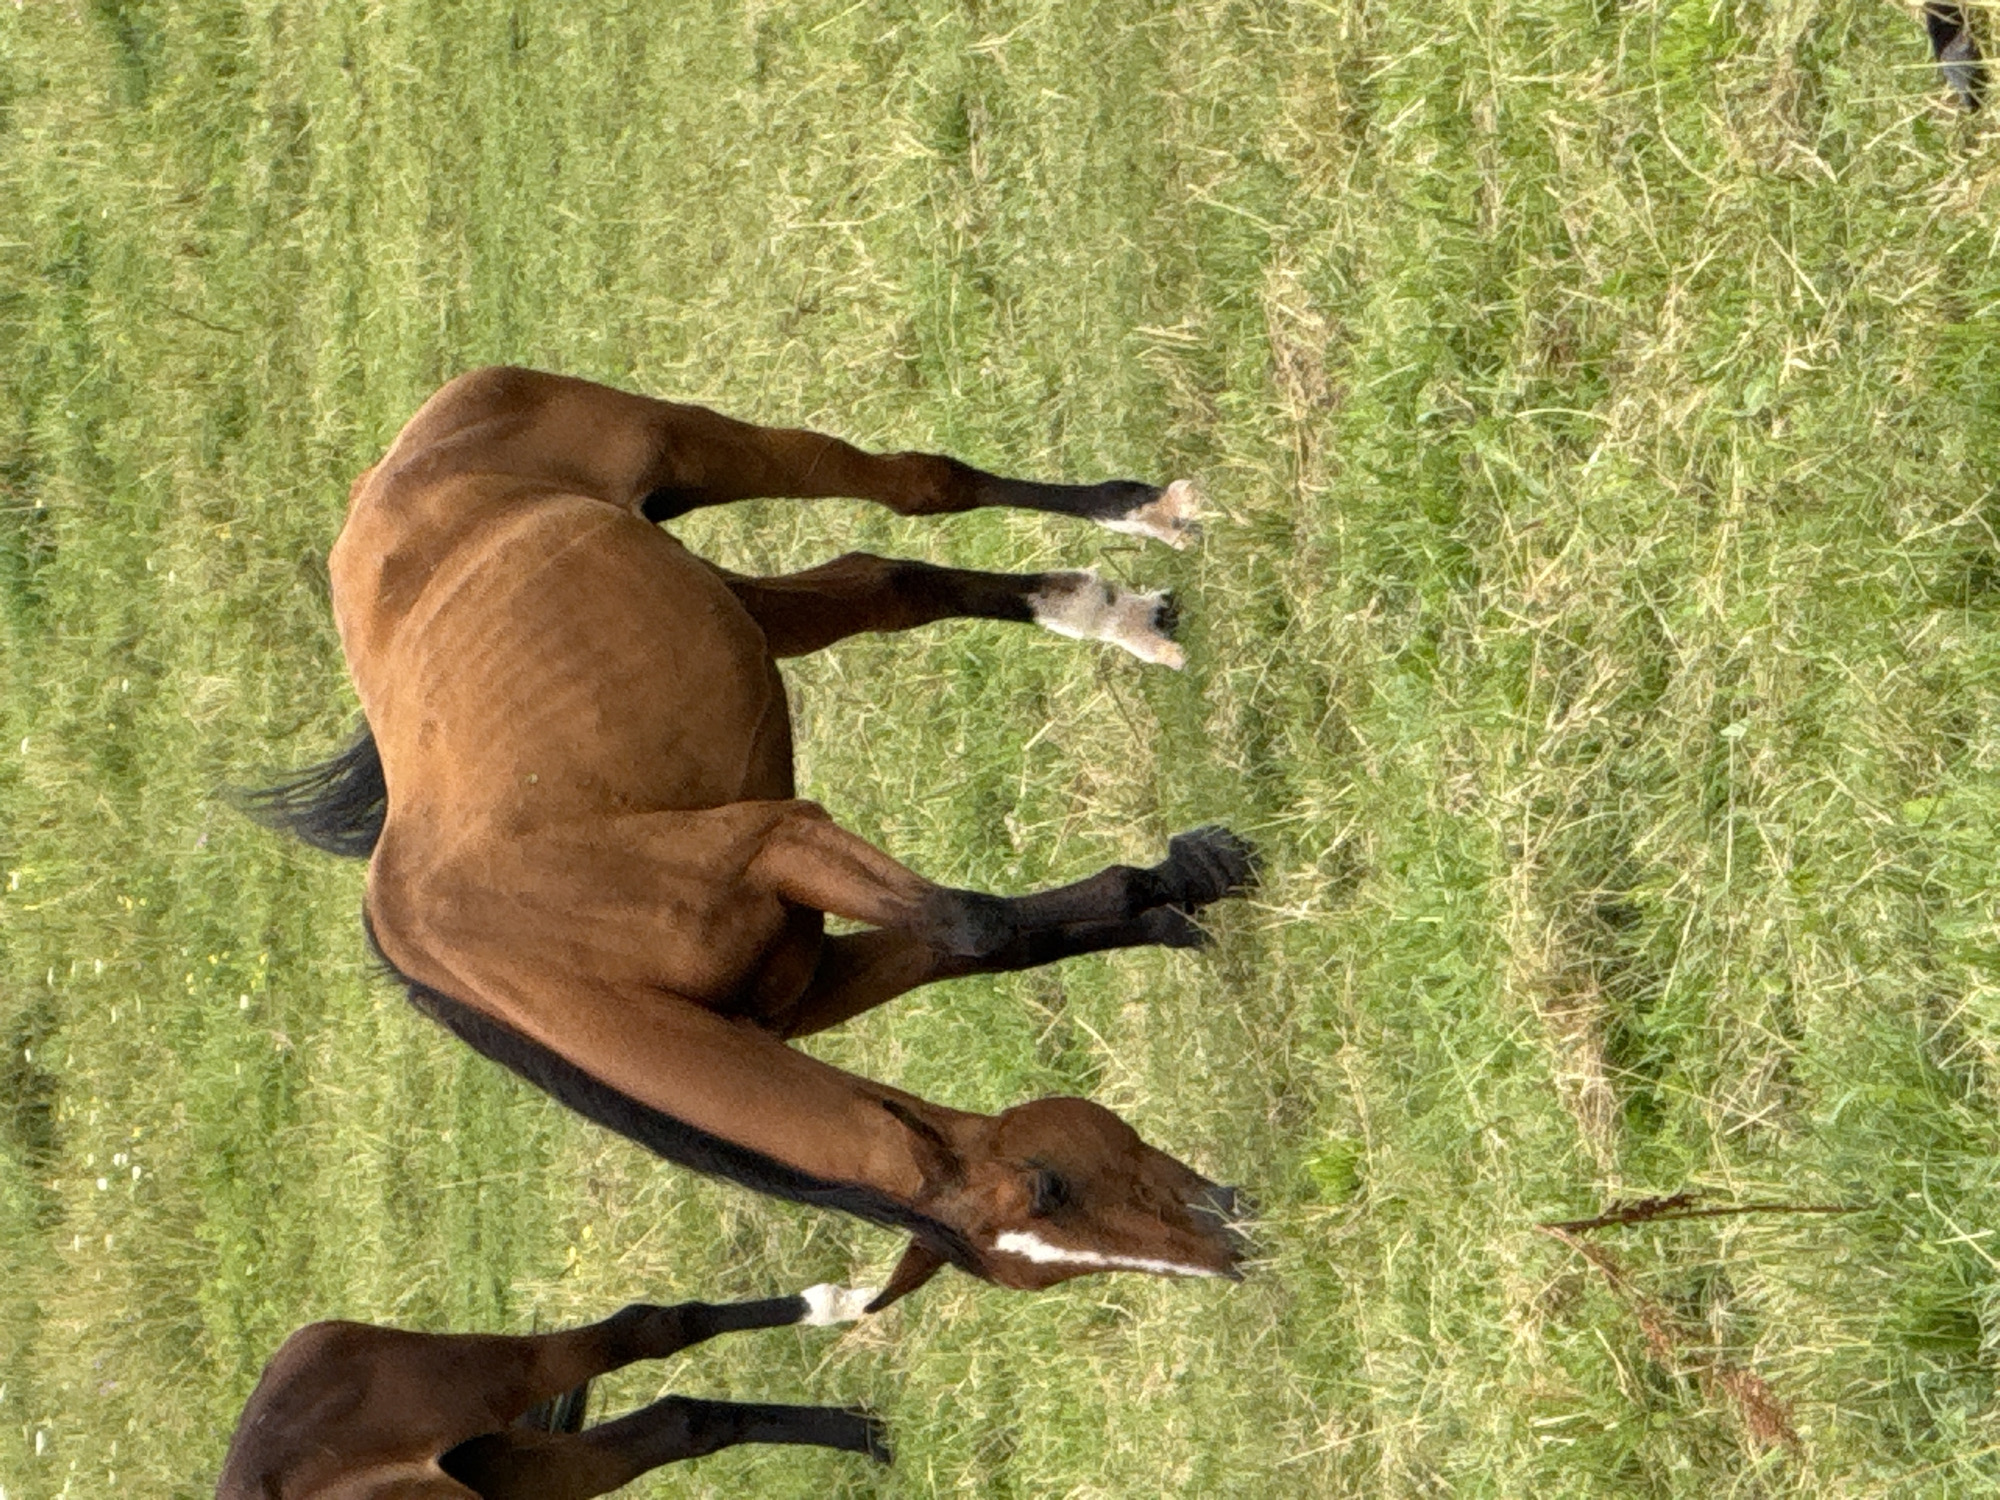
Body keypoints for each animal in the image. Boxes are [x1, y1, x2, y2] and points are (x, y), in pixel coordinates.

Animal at [216, 1284, 889, 1498]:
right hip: (522, 1474)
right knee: (680, 1425)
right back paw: (872, 1434)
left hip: (492, 1374)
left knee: (650, 1328)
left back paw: (843, 1309)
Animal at [247, 366, 1256, 1310]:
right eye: (1048, 1195)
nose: (1233, 1239)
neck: (552, 965)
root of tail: (393, 463)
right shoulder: (806, 986)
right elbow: (980, 939)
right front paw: (1174, 904)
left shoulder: (781, 840)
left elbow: (971, 923)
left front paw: (1194, 870)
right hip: (735, 601)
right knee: (886, 581)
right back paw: (1116, 615)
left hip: (699, 448)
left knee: (918, 486)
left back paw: (1147, 514)